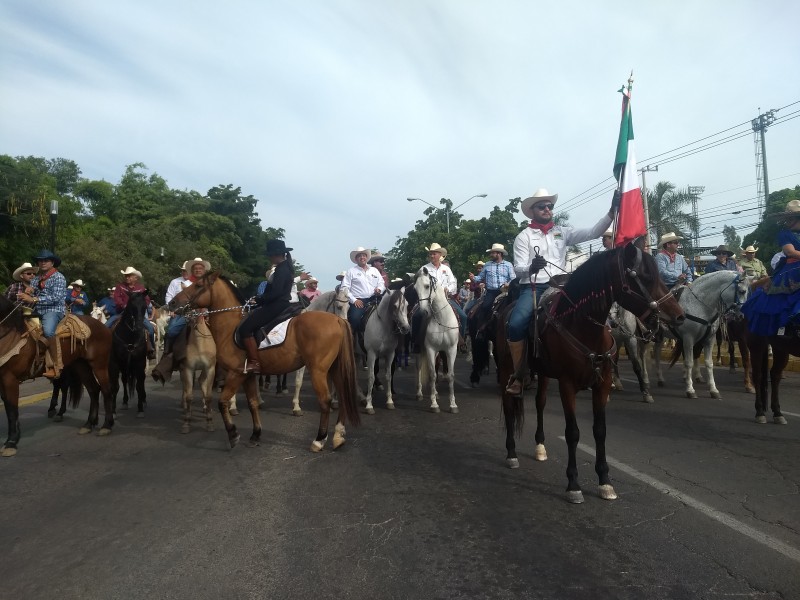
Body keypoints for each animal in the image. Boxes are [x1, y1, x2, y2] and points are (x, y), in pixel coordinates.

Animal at [0, 294, 115, 454]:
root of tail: (104, 328)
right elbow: (9, 407)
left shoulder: (10, 378)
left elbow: (11, 410)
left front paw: (11, 442)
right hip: (81, 366)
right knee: (93, 390)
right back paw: (88, 424)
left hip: (99, 365)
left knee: (106, 390)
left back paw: (106, 426)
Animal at [108, 290, 148, 418]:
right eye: (132, 306)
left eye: (144, 307)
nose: (139, 326)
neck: (130, 336)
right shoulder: (115, 363)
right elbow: (115, 387)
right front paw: (113, 411)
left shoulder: (140, 362)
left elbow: (139, 386)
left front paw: (140, 409)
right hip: (124, 366)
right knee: (125, 380)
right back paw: (125, 402)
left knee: (141, 380)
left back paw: (144, 400)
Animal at [170, 272, 360, 450]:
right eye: (340, 305)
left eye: (198, 285)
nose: (172, 303)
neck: (231, 327)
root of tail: (337, 320)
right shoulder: (246, 375)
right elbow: (252, 403)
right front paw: (255, 434)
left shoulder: (236, 373)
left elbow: (222, 402)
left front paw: (233, 434)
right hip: (333, 369)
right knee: (342, 396)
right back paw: (338, 435)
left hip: (318, 371)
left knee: (325, 401)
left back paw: (319, 440)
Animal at [410, 268, 460, 412]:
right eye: (415, 289)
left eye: (427, 286)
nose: (423, 312)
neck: (441, 319)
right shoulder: (430, 349)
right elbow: (432, 375)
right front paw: (434, 404)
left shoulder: (451, 349)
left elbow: (451, 375)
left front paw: (453, 404)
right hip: (419, 351)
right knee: (419, 368)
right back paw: (419, 394)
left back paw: (436, 393)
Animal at [496, 243, 684, 502]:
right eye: (645, 276)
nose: (679, 316)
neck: (583, 327)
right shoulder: (567, 385)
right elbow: (573, 433)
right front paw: (573, 484)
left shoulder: (601, 385)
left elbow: (600, 431)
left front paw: (605, 481)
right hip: (506, 369)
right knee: (508, 404)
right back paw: (512, 453)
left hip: (543, 374)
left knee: (540, 403)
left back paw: (540, 447)